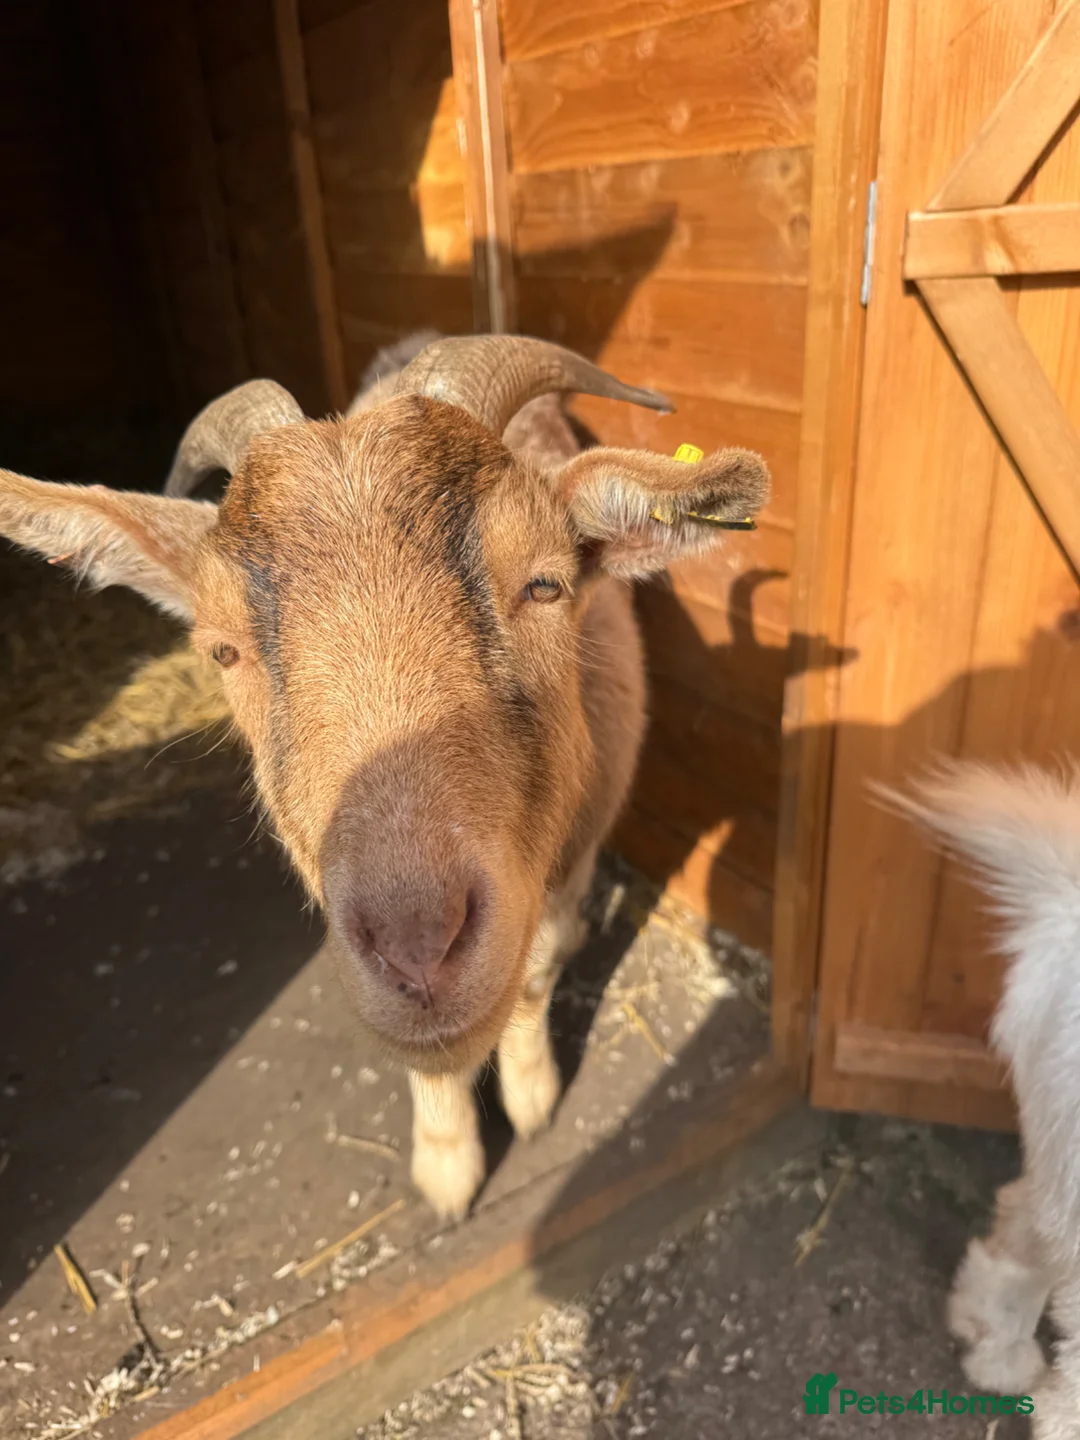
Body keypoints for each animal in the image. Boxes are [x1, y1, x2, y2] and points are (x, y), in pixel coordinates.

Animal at [0, 333, 769, 1220]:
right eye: (223, 648)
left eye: (545, 584)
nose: (417, 946)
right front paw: (448, 1167)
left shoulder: (573, 847)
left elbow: (534, 972)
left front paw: (533, 1102)